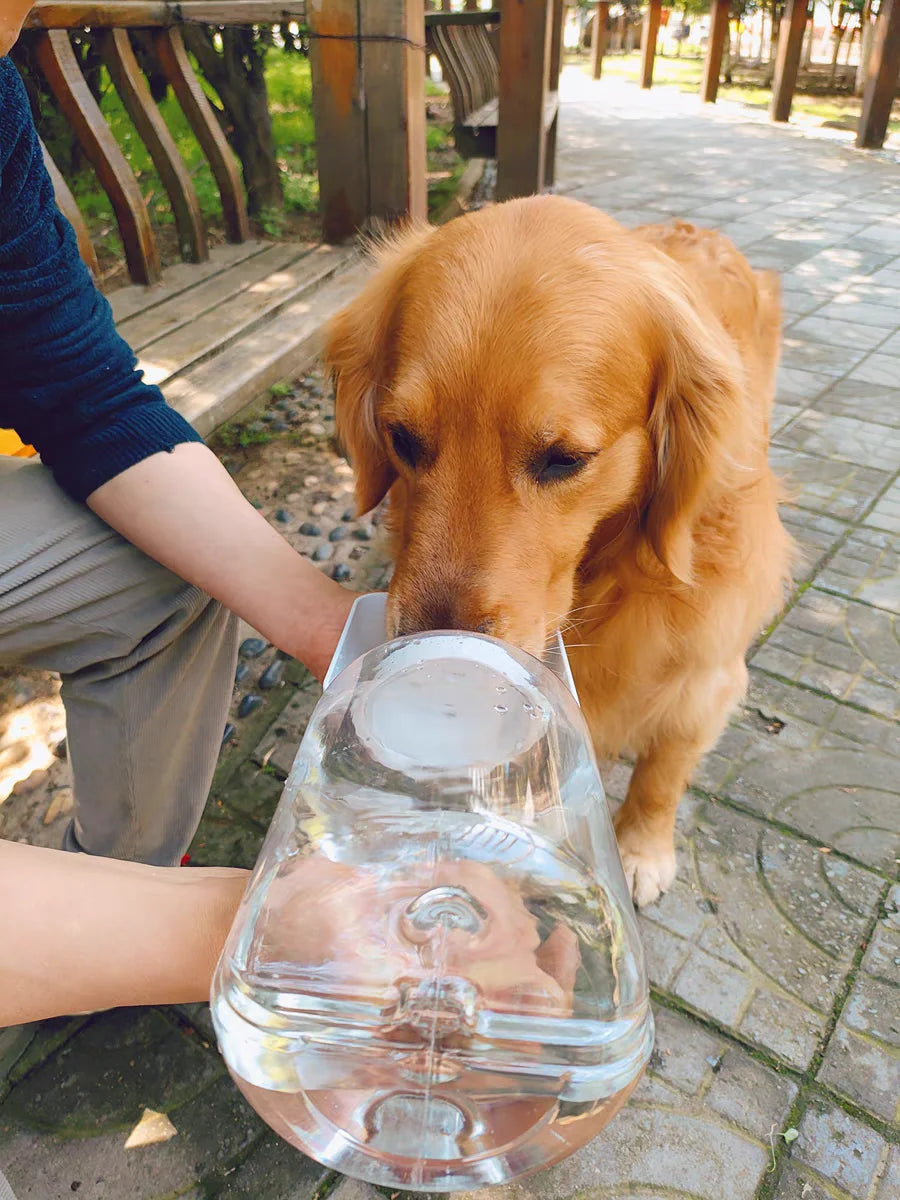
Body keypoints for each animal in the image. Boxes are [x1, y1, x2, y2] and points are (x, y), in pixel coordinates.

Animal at [324, 194, 787, 907]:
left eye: (565, 459)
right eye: (401, 438)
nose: (440, 657)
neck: (603, 574)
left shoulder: (708, 667)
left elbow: (666, 765)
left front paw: (641, 848)